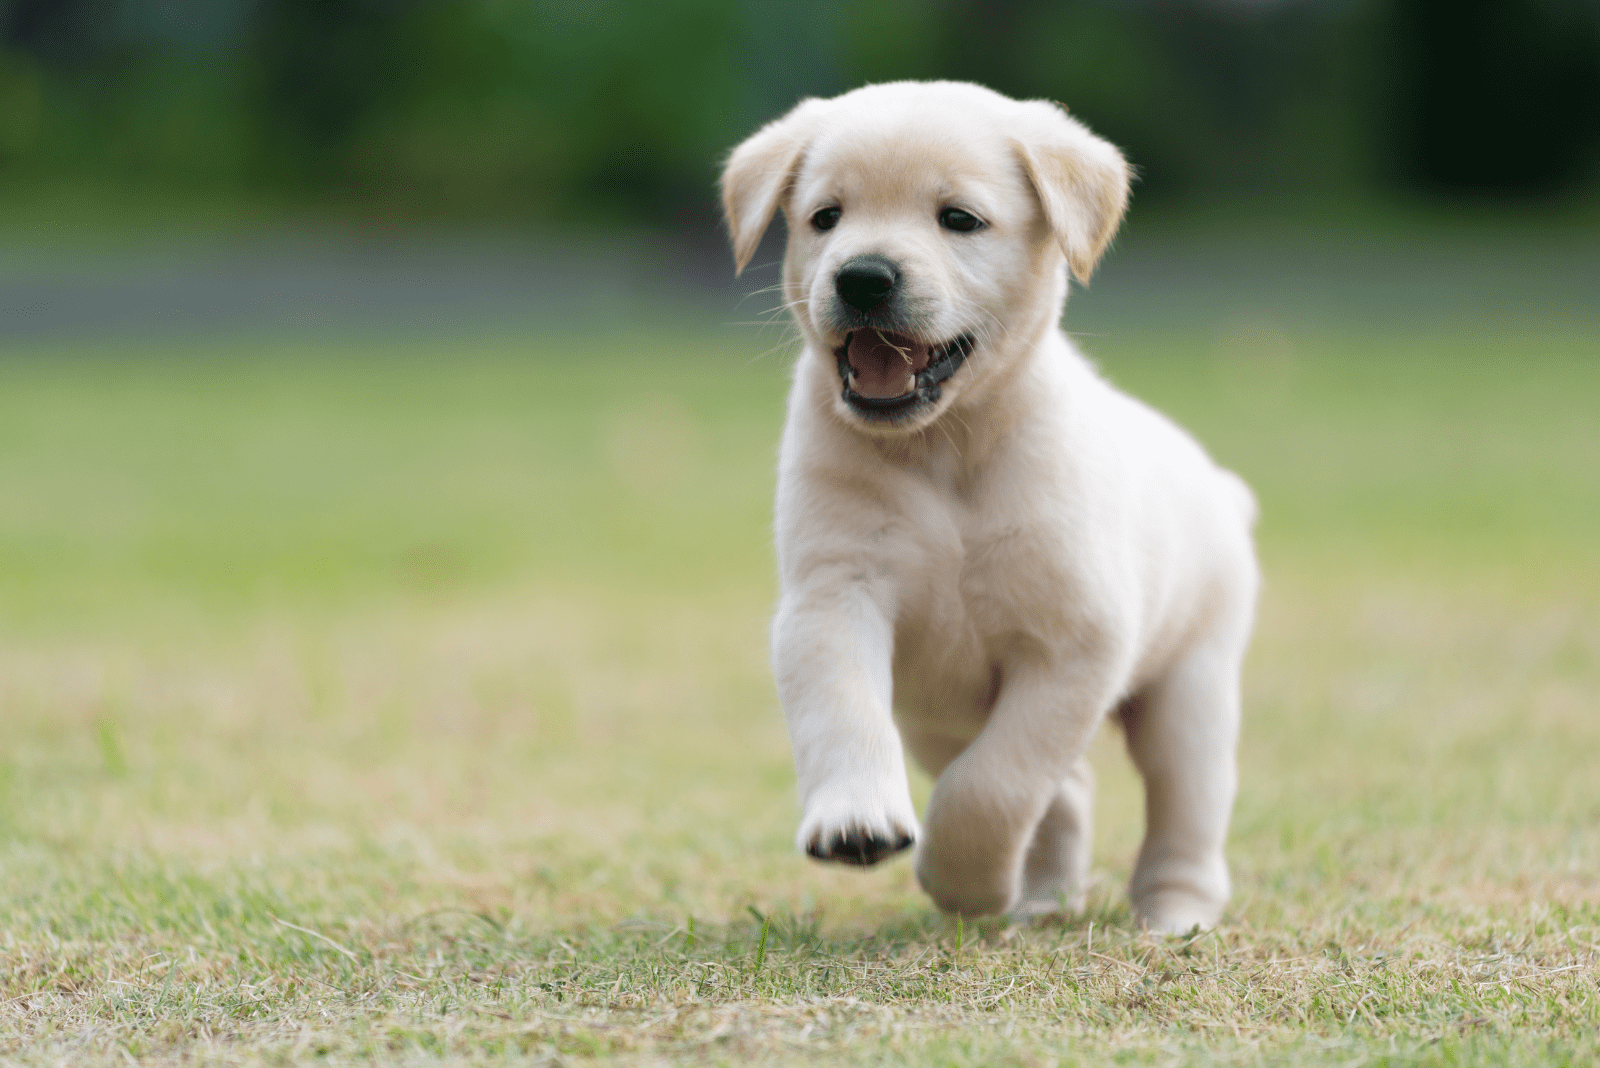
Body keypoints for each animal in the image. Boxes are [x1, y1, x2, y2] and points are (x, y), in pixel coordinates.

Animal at [720, 81, 1254, 933]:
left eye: (960, 219)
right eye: (825, 216)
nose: (863, 277)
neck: (947, 450)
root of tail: (1221, 488)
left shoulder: (1075, 645)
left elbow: (995, 784)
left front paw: (963, 879)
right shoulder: (833, 596)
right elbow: (844, 711)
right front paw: (858, 820)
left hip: (1193, 688)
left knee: (1182, 809)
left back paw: (1175, 914)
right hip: (935, 717)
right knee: (1067, 792)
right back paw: (1042, 896)